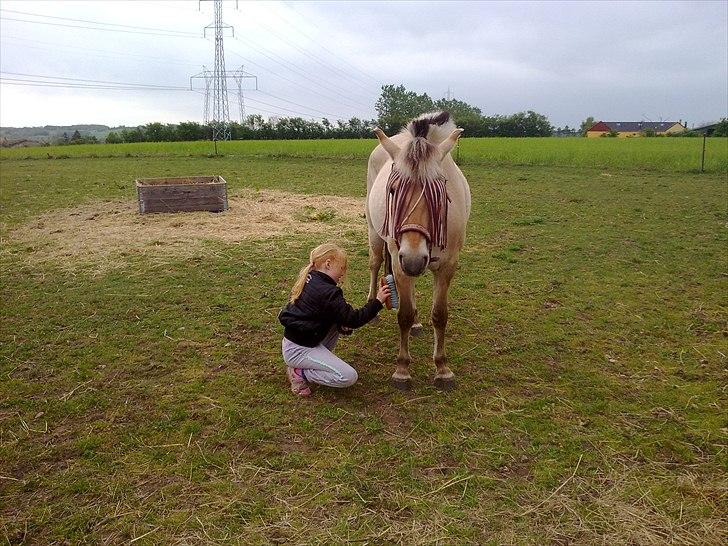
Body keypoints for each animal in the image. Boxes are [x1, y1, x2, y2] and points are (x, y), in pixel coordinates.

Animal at [364, 111, 472, 386]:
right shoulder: (400, 261)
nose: (413, 259)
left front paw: (442, 368)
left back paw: (416, 324)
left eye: (441, 194)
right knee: (375, 263)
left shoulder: (447, 265)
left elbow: (440, 314)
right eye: (393, 191)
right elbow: (403, 314)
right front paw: (402, 369)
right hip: (376, 236)